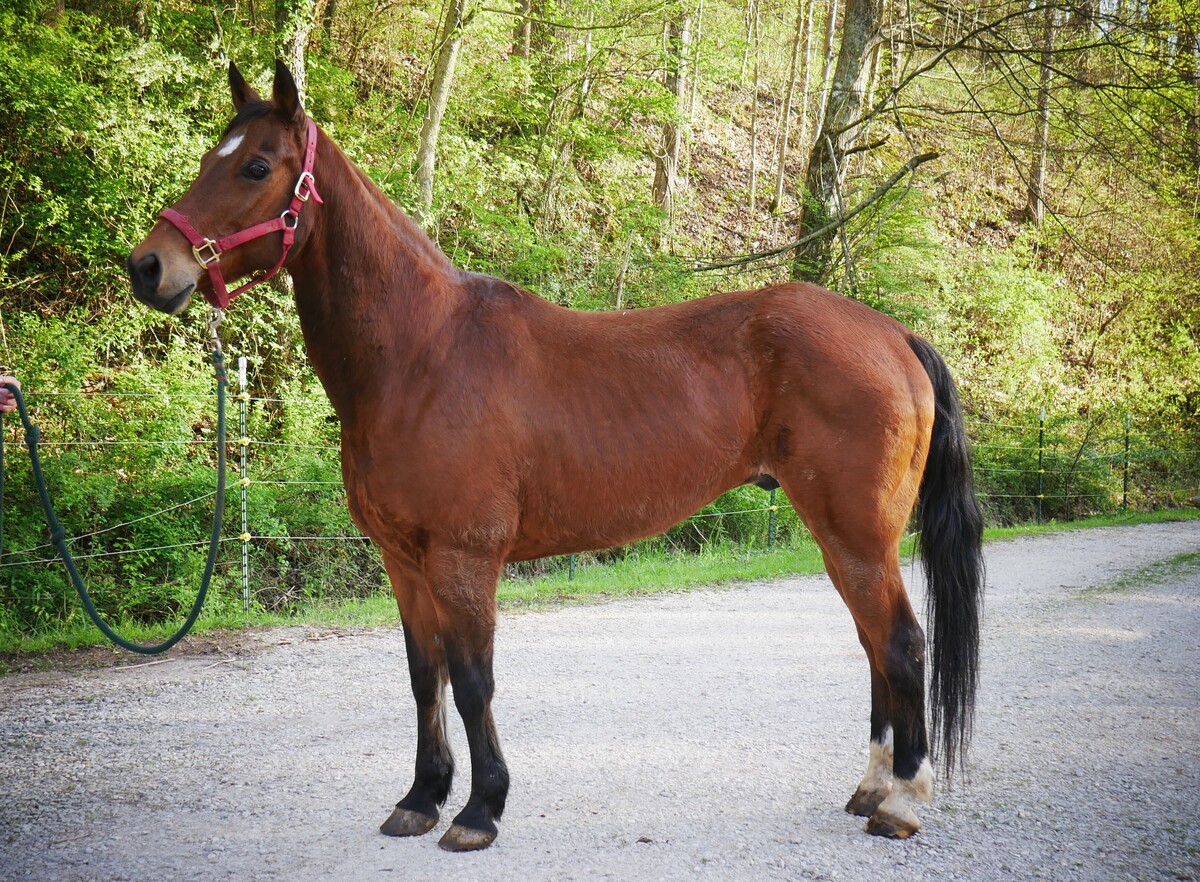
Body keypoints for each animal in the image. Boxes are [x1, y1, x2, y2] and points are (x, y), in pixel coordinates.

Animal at [128, 61, 984, 852]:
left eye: (255, 166)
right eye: (210, 156)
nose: (150, 267)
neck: (419, 356)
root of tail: (891, 334)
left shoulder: (464, 557)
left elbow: (474, 683)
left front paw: (479, 810)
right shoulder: (404, 560)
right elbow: (424, 677)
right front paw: (421, 797)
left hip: (857, 534)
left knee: (901, 645)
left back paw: (902, 803)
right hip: (841, 536)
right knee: (875, 646)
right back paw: (871, 789)